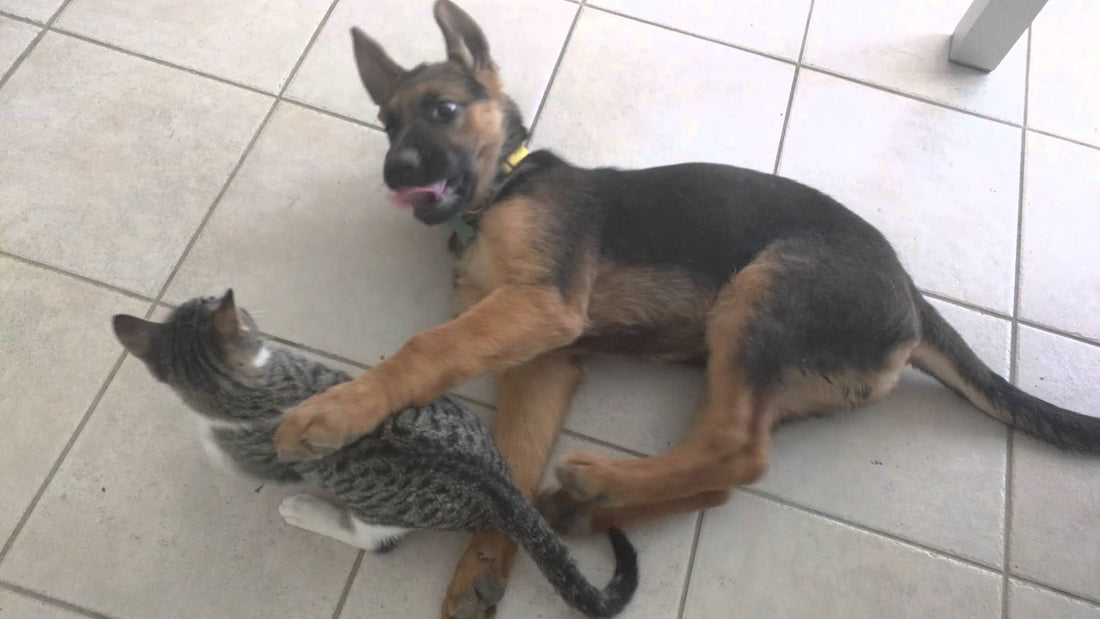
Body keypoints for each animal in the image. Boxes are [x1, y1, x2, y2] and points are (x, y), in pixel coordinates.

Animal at [111, 292, 638, 619]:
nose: (247, 311)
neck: (254, 387)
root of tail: (503, 490)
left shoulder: (260, 453)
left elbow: (222, 450)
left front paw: (206, 442)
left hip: (378, 513)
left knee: (374, 542)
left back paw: (306, 510)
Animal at [272, 2, 1100, 615]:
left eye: (443, 109)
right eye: (386, 125)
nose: (394, 171)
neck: (503, 184)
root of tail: (914, 299)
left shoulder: (543, 303)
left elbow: (428, 348)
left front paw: (333, 413)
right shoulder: (544, 358)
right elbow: (512, 458)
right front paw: (485, 562)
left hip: (758, 295)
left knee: (740, 450)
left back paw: (597, 478)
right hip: (748, 360)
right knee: (725, 470)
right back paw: (588, 506)